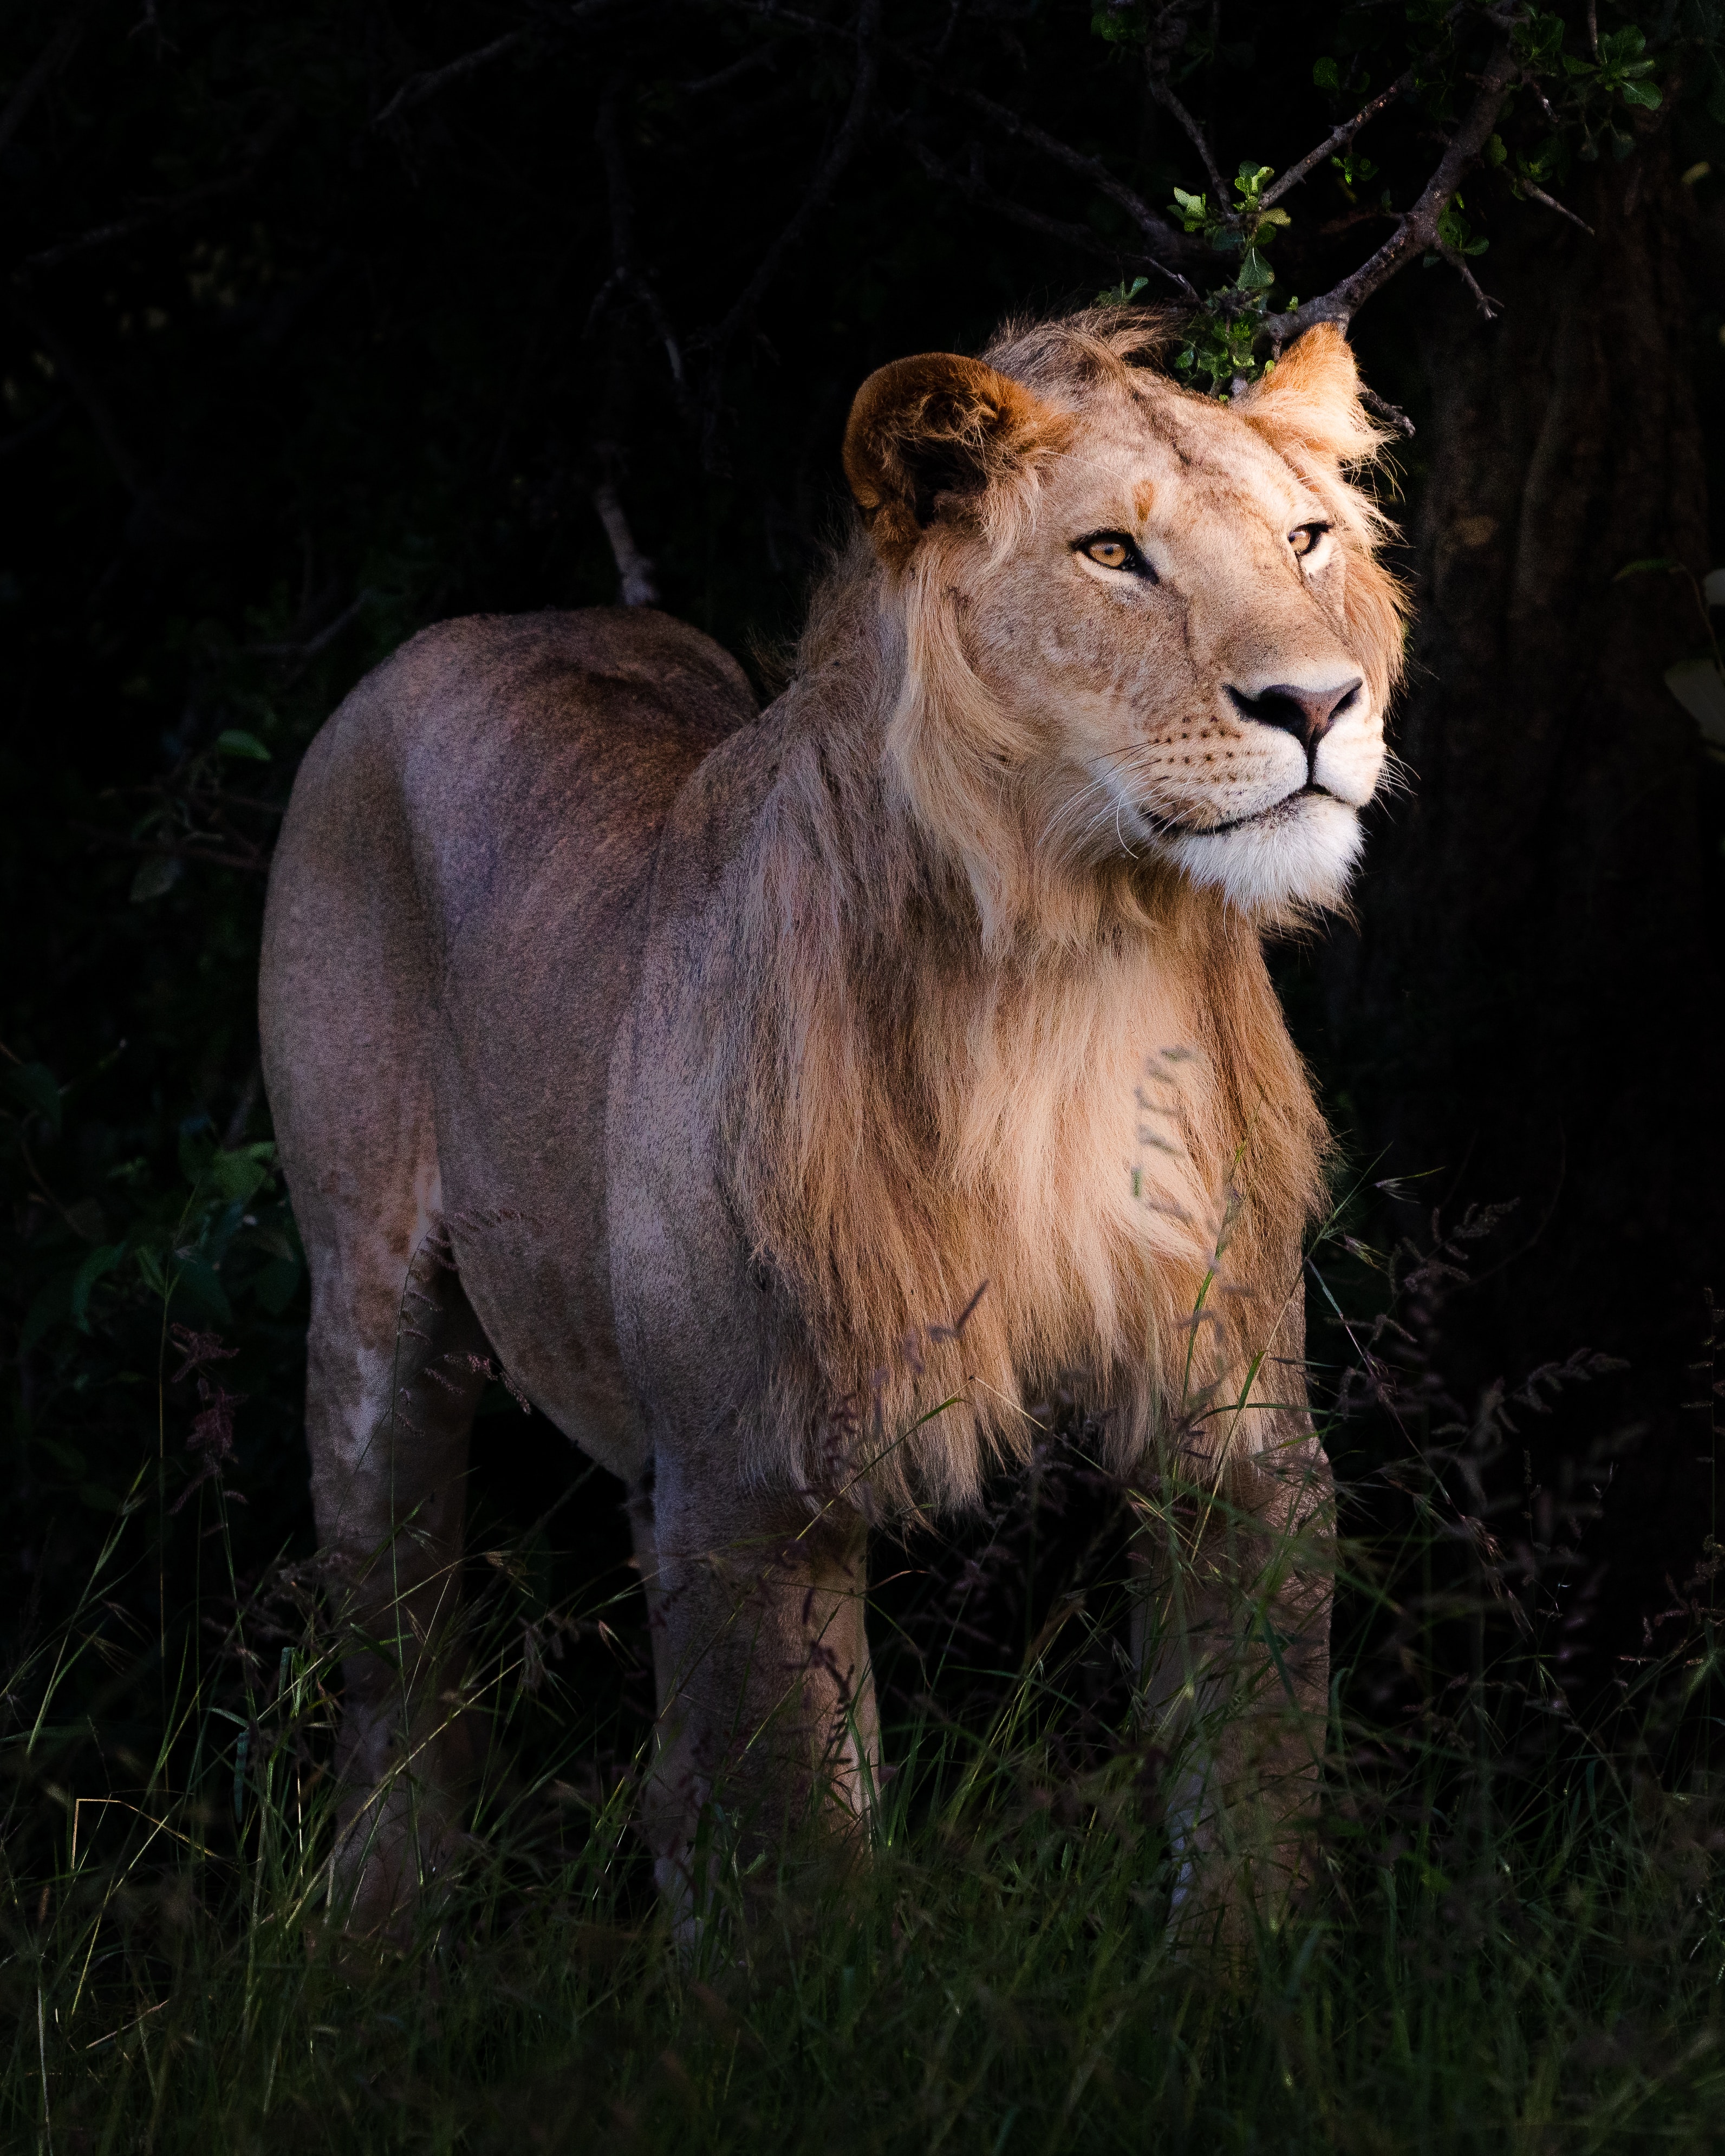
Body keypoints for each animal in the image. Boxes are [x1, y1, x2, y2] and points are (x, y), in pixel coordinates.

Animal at [258, 309, 1405, 1941]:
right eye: (1112, 552)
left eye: (1306, 538)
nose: (1317, 705)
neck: (1073, 963)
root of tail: (491, 621)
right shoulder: (756, 1476)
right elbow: (800, 1853)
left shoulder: (1238, 1429)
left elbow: (1247, 1794)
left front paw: (1232, 1988)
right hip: (369, 1317)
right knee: (395, 1651)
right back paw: (380, 1912)